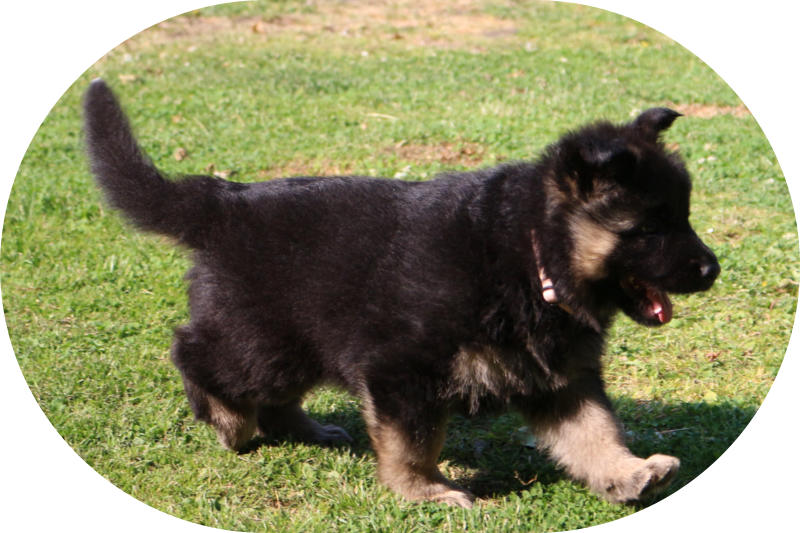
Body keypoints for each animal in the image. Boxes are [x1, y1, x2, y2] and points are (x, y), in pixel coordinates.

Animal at [83, 79, 719, 508]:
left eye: (684, 217)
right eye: (651, 229)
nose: (713, 270)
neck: (529, 251)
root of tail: (225, 202)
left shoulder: (560, 376)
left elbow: (594, 430)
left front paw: (626, 472)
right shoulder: (402, 370)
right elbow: (414, 442)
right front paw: (423, 492)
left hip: (298, 342)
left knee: (273, 391)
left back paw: (304, 429)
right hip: (261, 341)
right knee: (194, 352)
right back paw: (227, 421)